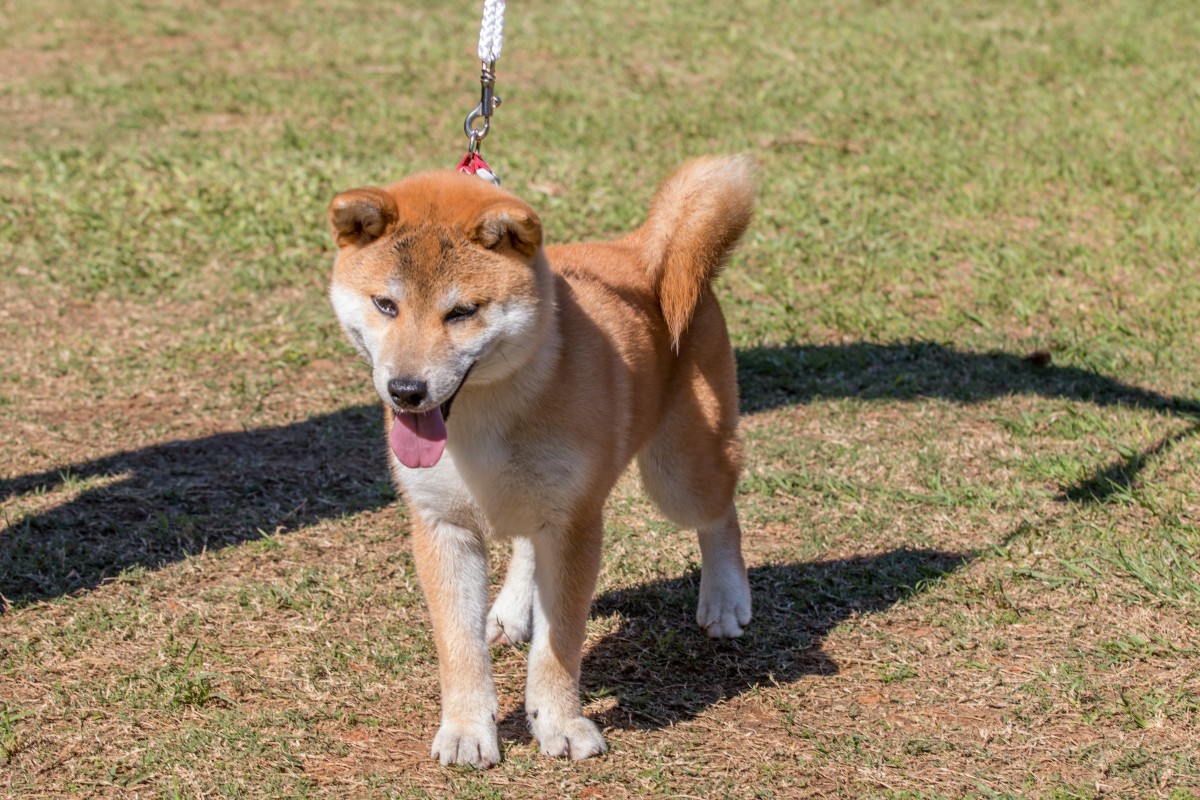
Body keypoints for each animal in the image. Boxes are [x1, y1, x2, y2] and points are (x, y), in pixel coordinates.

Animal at [326, 158, 758, 767]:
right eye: (386, 305)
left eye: (462, 312)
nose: (405, 392)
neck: (484, 417)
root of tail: (641, 251)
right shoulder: (444, 525)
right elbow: (458, 648)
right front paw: (467, 730)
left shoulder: (575, 522)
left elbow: (561, 645)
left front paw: (559, 723)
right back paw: (511, 610)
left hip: (676, 473)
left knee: (720, 511)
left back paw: (725, 598)